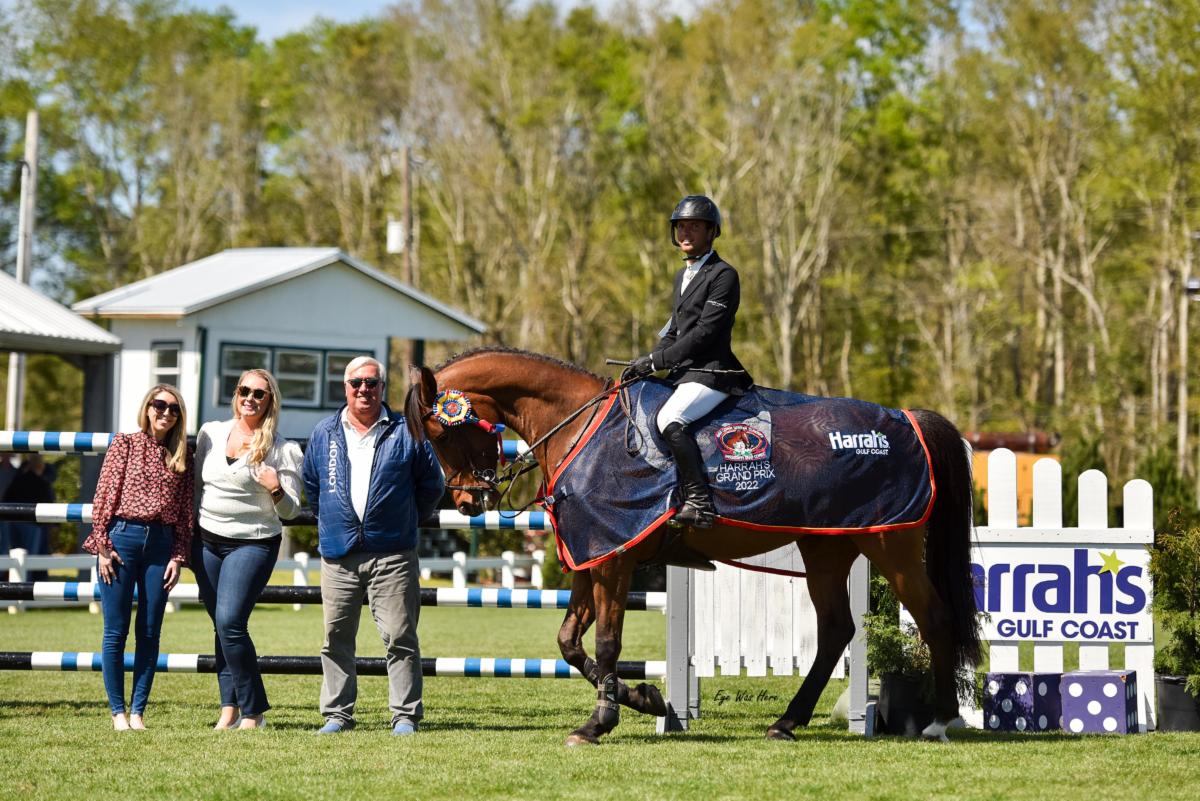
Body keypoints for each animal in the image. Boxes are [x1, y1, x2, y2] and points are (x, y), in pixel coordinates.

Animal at [405, 346, 981, 745]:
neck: (580, 429)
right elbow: (569, 642)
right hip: (826, 550)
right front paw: (645, 698)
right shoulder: (590, 555)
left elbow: (606, 643)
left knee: (933, 618)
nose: (469, 501)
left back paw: (940, 721)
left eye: (441, 433)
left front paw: (599, 722)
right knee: (837, 629)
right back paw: (787, 722)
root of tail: (907, 418)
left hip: (891, 548)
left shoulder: (613, 561)